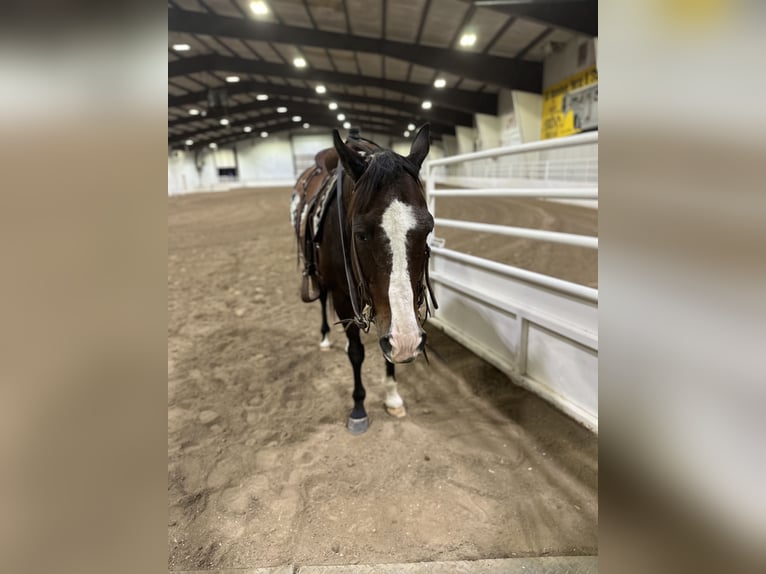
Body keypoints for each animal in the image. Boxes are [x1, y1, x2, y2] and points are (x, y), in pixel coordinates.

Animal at [292, 124, 438, 434]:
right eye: (360, 234)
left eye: (428, 228)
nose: (408, 341)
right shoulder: (342, 295)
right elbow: (358, 353)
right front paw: (358, 408)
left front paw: (393, 396)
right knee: (322, 301)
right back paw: (325, 338)